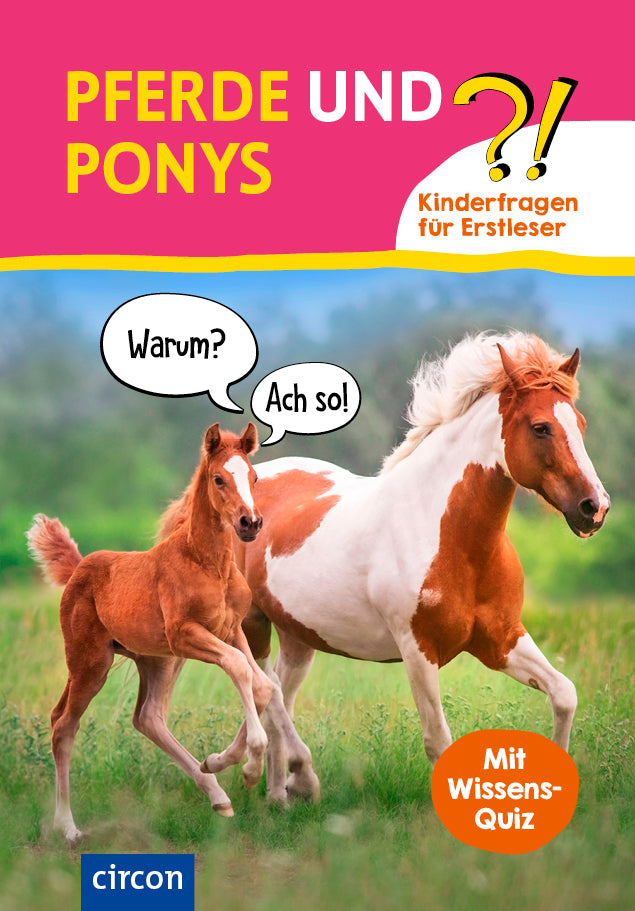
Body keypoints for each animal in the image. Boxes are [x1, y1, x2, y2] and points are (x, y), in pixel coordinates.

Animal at [27, 422, 280, 841]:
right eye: (218, 478)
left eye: (254, 477)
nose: (251, 523)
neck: (208, 563)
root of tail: (80, 568)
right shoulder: (186, 633)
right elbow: (239, 669)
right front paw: (250, 766)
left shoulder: (230, 630)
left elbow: (260, 684)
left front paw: (222, 761)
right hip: (90, 662)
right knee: (63, 725)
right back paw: (67, 827)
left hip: (155, 660)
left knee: (147, 717)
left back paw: (216, 794)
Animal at [159, 332, 611, 803]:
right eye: (540, 426)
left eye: (580, 423)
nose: (594, 508)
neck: (451, 538)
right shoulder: (418, 650)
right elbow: (438, 740)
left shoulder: (500, 639)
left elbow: (564, 694)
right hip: (251, 624)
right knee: (268, 690)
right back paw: (286, 774)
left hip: (298, 636)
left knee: (275, 693)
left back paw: (274, 792)